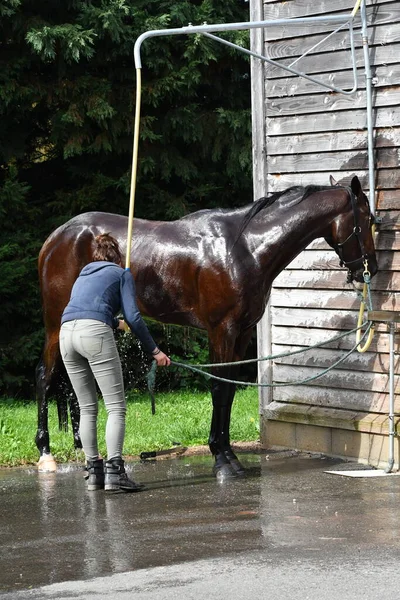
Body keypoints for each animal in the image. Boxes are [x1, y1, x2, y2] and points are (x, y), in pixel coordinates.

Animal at [35, 175, 378, 478]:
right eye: (367, 219)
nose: (370, 268)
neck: (246, 248)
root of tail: (55, 238)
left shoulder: (242, 332)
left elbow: (228, 390)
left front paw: (229, 455)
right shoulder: (221, 330)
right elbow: (218, 387)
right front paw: (221, 459)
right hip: (56, 325)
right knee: (45, 377)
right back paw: (46, 453)